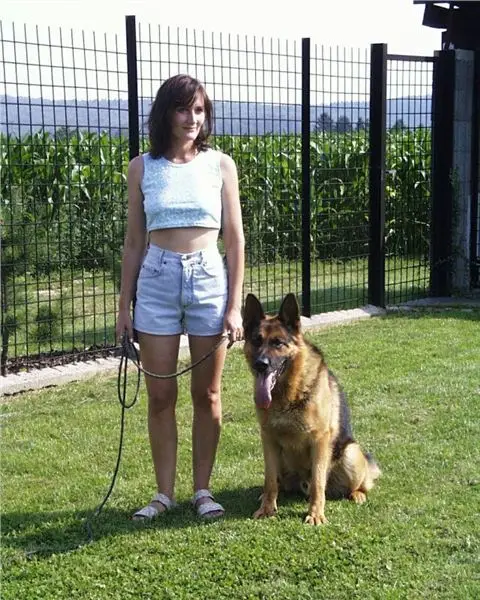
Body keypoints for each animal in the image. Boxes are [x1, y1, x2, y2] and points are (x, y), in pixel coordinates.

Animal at [243, 292, 381, 525]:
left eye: (278, 343)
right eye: (256, 340)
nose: (261, 364)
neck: (287, 395)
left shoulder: (320, 440)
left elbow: (318, 483)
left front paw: (315, 514)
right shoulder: (268, 439)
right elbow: (269, 480)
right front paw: (266, 509)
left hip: (351, 453)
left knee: (357, 484)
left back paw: (357, 494)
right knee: (277, 482)